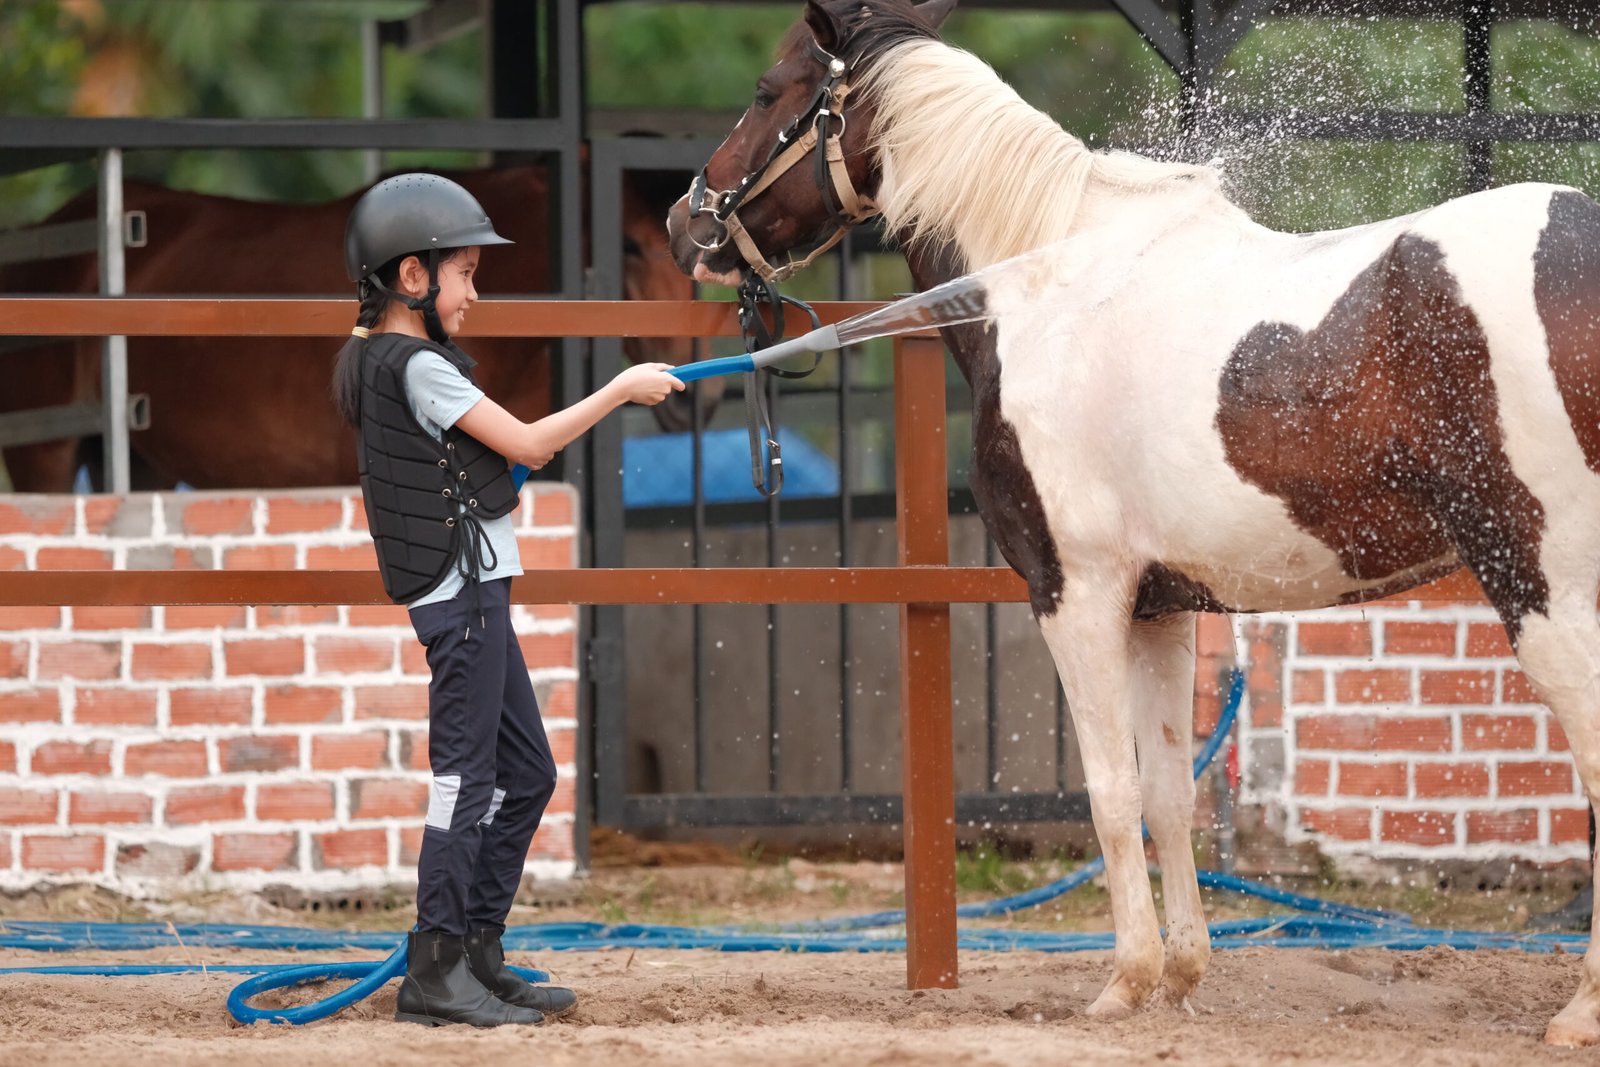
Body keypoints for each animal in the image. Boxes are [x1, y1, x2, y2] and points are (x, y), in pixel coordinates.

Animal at [666, 0, 1600, 1047]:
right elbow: (1167, 792)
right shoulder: (1164, 608)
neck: (1047, 281)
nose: (685, 221)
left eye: (767, 90)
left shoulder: (1075, 594)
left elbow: (1111, 793)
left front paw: (1124, 980)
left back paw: (1581, 1008)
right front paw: (1182, 974)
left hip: (1538, 585)